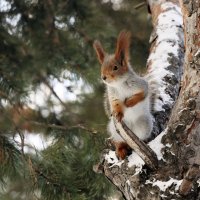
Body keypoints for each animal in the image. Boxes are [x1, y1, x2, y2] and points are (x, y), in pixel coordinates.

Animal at [92, 30, 153, 159]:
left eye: (115, 67)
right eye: (102, 68)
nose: (103, 77)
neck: (119, 84)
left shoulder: (141, 85)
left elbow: (142, 94)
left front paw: (129, 102)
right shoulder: (113, 96)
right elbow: (116, 105)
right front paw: (119, 114)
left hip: (144, 125)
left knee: (139, 138)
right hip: (115, 130)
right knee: (120, 142)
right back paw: (121, 149)